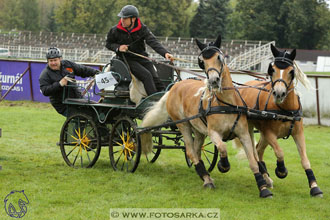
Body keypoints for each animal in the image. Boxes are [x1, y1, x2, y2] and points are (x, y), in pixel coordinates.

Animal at [141, 34, 272, 198]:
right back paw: (207, 179)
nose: (213, 81)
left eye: (219, 57)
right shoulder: (213, 132)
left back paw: (204, 175)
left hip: (198, 130)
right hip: (183, 124)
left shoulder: (243, 134)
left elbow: (253, 161)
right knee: (190, 151)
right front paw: (223, 165)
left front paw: (263, 188)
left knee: (196, 151)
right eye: (202, 62)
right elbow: (222, 147)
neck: (226, 104)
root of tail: (174, 87)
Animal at [235, 44, 322, 198]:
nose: (279, 93)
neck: (285, 109)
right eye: (272, 69)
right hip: (250, 128)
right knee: (255, 152)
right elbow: (280, 152)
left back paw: (266, 177)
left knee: (259, 150)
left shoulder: (298, 133)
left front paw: (314, 186)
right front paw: (281, 170)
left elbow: (305, 160)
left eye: (291, 71)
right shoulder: (269, 133)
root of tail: (245, 85)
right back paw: (265, 176)